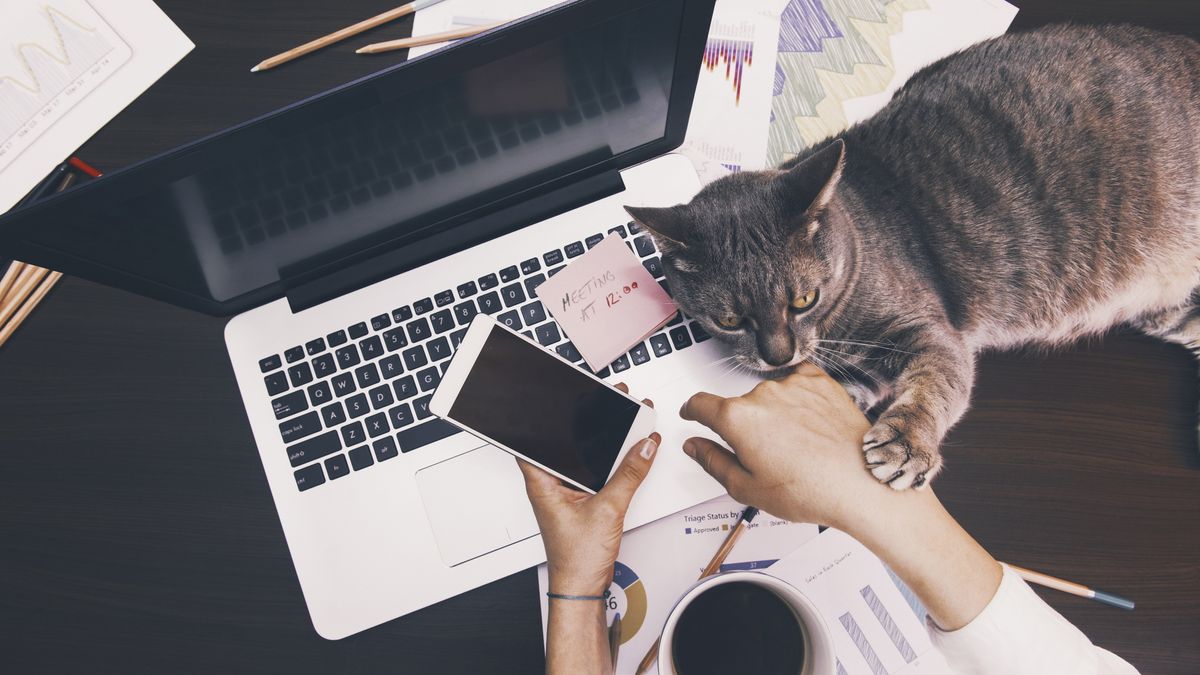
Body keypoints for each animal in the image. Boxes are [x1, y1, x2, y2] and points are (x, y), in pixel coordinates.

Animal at [628, 24, 1200, 487]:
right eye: (728, 319)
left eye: (805, 299)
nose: (778, 355)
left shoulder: (930, 330)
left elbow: (938, 384)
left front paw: (908, 443)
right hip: (1172, 308)